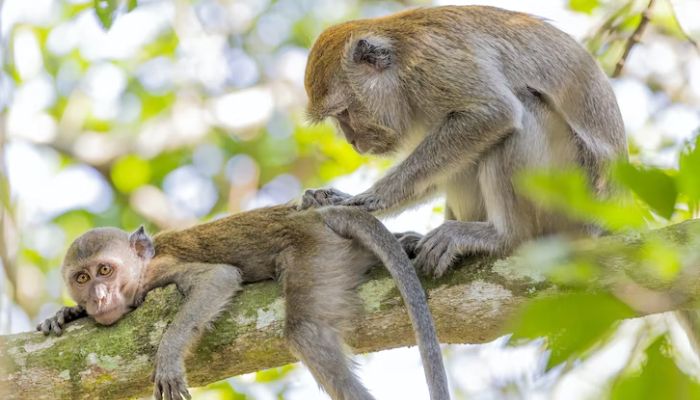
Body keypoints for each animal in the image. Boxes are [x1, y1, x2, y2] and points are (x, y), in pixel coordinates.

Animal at [38, 205, 452, 400]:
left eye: (105, 270)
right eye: (82, 278)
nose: (98, 296)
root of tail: (316, 215)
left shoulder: (159, 272)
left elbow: (218, 278)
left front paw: (168, 355)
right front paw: (66, 313)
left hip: (315, 248)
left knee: (305, 331)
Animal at [304, 5, 628, 276]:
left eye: (344, 112)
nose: (351, 140)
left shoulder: (431, 63)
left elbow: (493, 113)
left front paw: (374, 198)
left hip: (574, 191)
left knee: (523, 108)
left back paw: (505, 236)